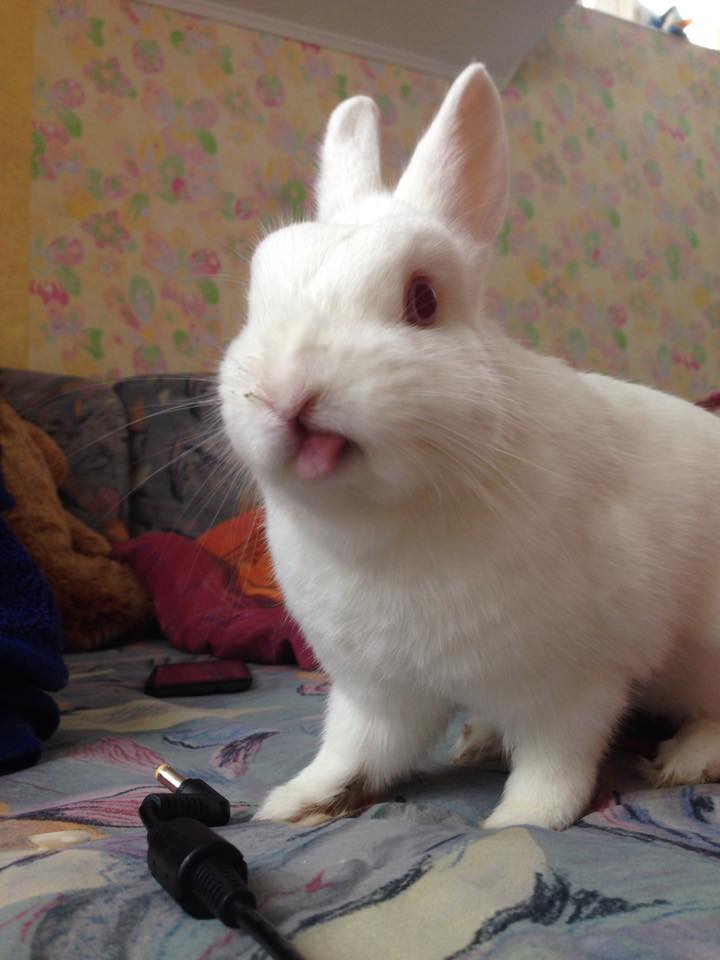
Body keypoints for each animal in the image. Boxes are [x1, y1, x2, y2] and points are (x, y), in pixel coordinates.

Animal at [219, 63, 720, 830]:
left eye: (423, 300)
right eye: (256, 299)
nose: (288, 392)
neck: (385, 526)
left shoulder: (573, 685)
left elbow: (556, 761)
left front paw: (522, 822)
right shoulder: (378, 694)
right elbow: (355, 753)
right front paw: (295, 806)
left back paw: (686, 759)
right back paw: (477, 739)